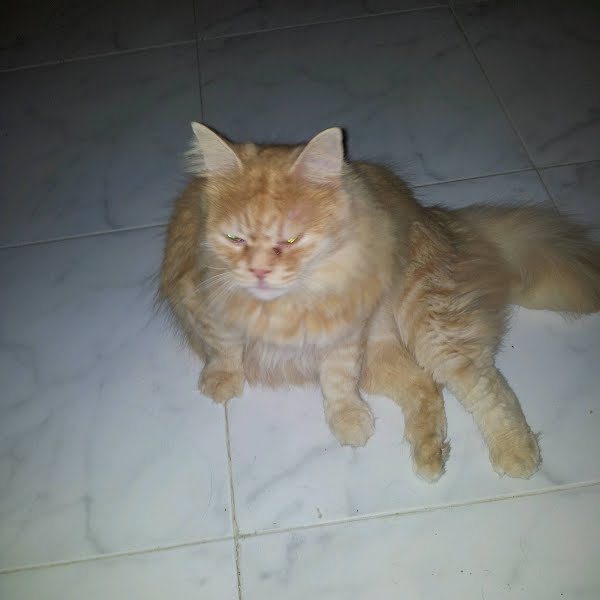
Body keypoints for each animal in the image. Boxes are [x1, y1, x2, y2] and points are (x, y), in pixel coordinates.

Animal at [159, 123, 600, 482]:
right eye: (234, 238)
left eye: (291, 239)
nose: (259, 272)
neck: (283, 307)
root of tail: (432, 215)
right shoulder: (202, 301)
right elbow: (224, 346)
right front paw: (222, 379)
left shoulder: (343, 336)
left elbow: (336, 382)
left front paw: (347, 419)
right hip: (382, 354)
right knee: (425, 386)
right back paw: (430, 455)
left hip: (428, 325)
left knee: (482, 383)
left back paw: (515, 451)